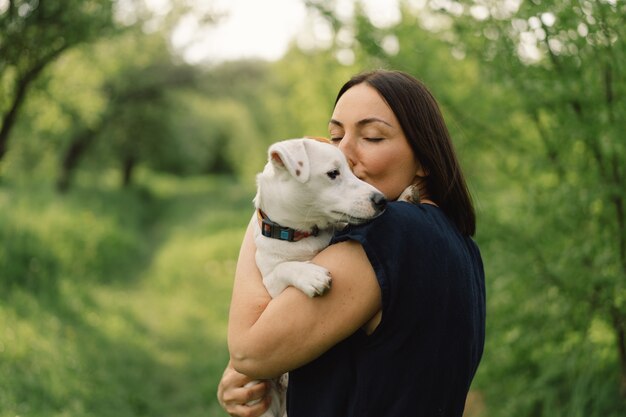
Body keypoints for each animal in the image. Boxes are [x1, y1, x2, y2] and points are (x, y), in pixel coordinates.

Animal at [245, 138, 386, 414]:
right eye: (333, 174)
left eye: (351, 169)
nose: (382, 200)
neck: (301, 234)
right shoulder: (271, 285)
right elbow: (283, 268)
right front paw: (311, 275)